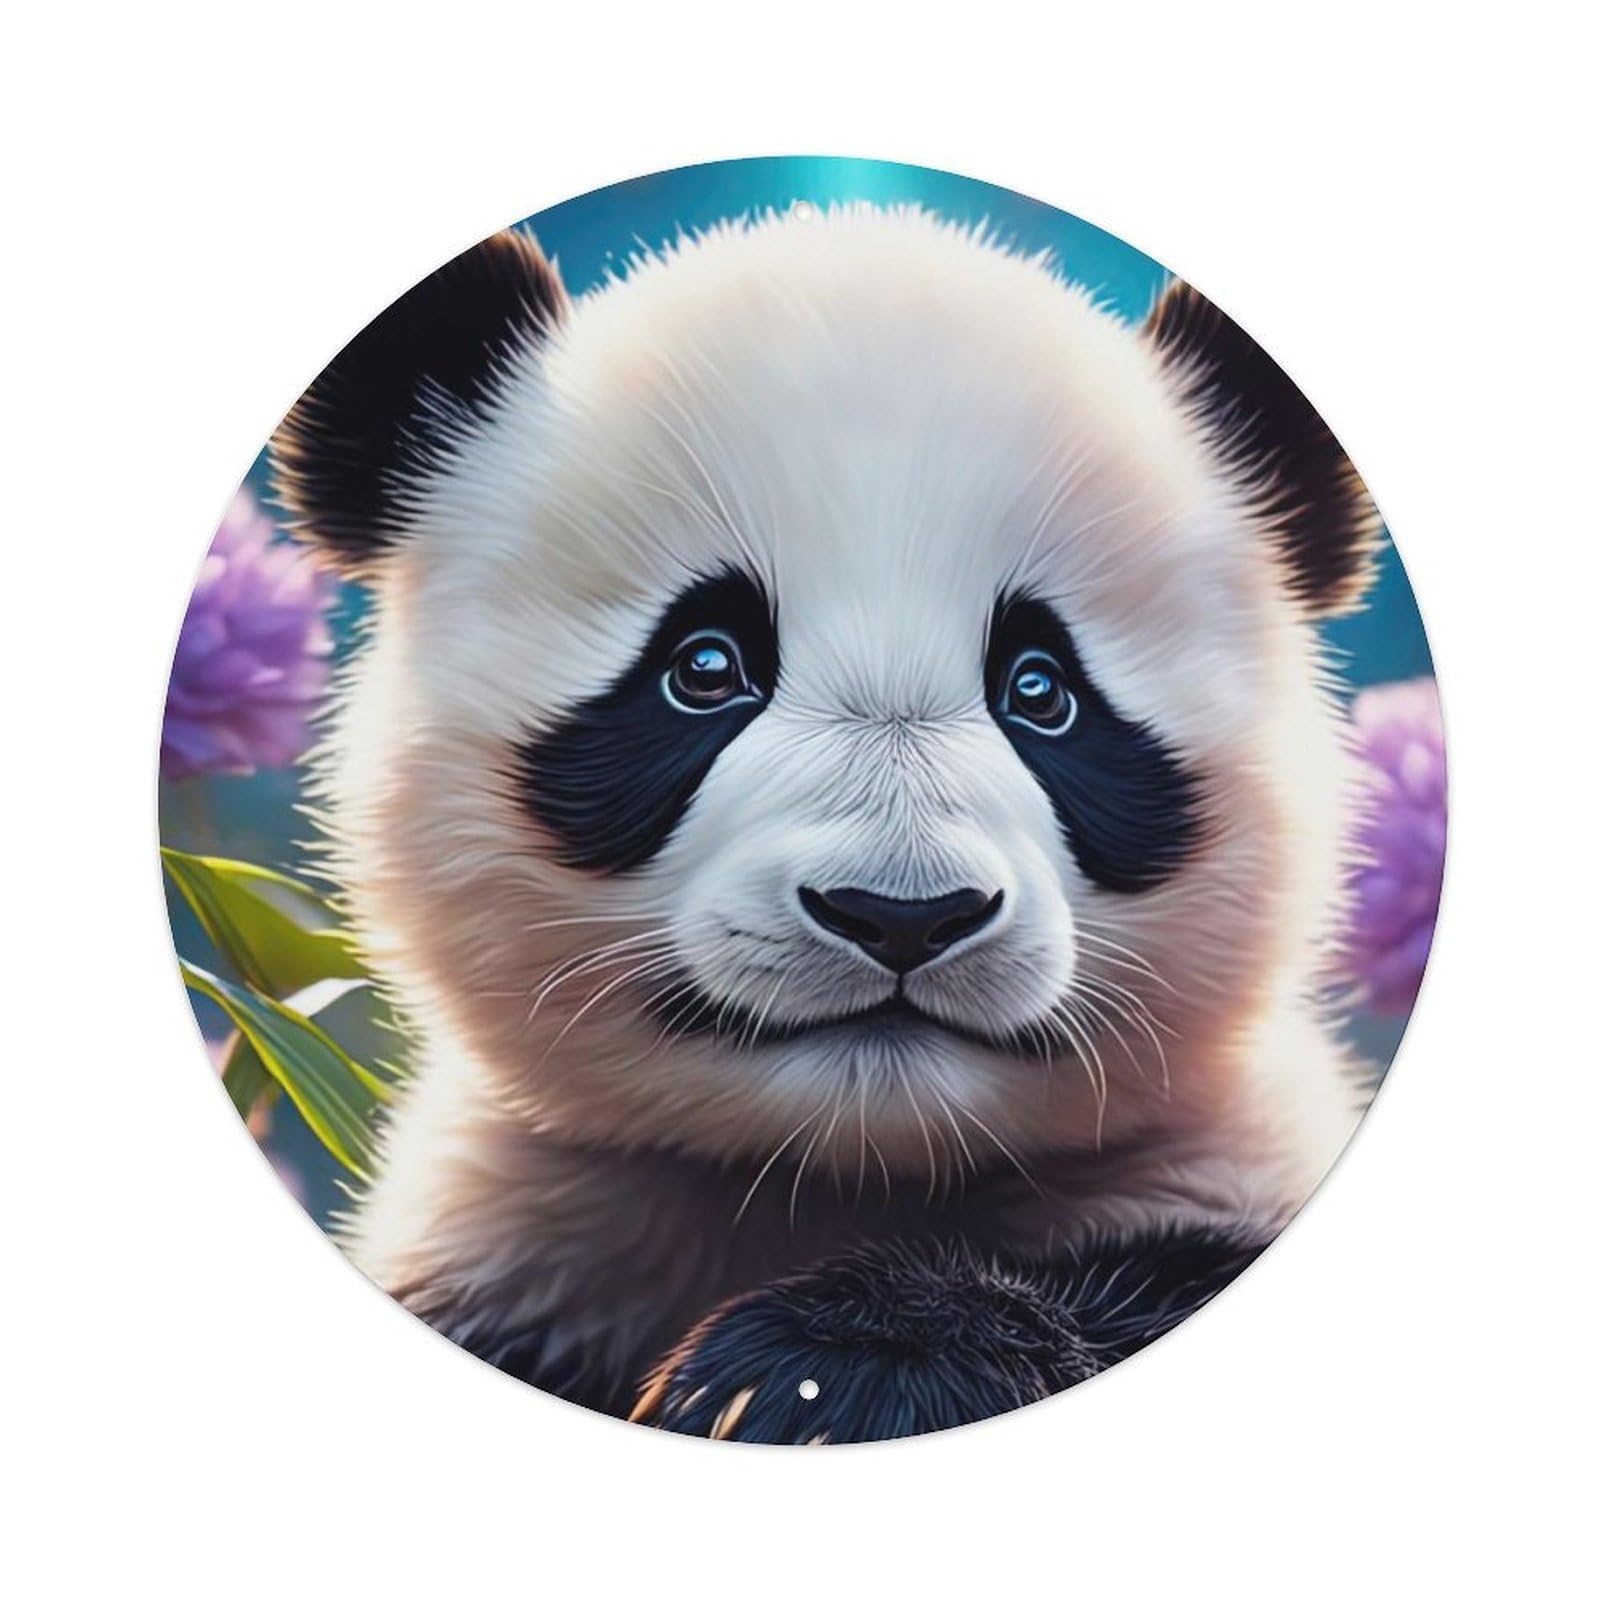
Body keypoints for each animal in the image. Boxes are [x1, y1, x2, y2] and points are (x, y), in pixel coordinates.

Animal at [271, 203, 1381, 1444]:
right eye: (703, 667)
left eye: (1041, 690)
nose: (901, 915)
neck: (833, 1176)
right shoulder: (510, 1244)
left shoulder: (1226, 1164)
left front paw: (831, 1364)